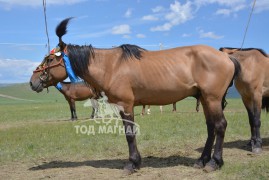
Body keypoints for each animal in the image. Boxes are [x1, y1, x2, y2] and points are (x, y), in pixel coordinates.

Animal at [28, 17, 239, 173]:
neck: (110, 66)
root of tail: (226, 56)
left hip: (212, 98)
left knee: (220, 125)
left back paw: (214, 162)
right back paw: (202, 160)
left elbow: (129, 134)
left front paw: (132, 164)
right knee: (211, 127)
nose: (32, 81)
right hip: (204, 99)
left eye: (49, 59)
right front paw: (136, 162)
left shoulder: (126, 105)